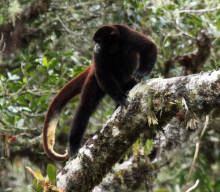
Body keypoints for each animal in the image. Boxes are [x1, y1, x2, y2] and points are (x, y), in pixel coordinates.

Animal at [42, 24, 156, 161]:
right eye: (96, 42)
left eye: (99, 41)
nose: (95, 47)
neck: (115, 46)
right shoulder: (98, 56)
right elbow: (103, 75)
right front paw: (119, 98)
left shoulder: (127, 34)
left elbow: (149, 46)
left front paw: (141, 73)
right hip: (93, 79)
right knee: (85, 107)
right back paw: (74, 145)